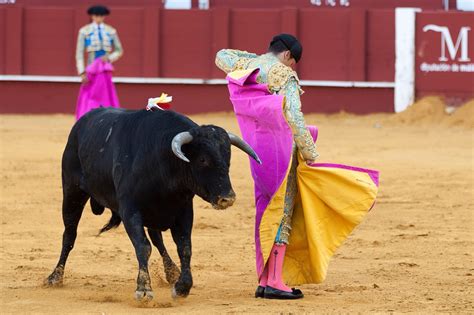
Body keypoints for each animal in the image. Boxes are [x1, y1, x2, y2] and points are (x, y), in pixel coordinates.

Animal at [45, 108, 260, 302]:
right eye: (203, 159)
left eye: (228, 159)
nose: (227, 198)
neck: (162, 160)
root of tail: (82, 122)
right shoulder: (130, 210)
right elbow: (143, 246)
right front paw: (143, 289)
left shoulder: (183, 211)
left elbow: (184, 247)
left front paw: (182, 287)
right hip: (72, 193)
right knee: (69, 235)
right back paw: (55, 277)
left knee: (157, 239)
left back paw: (172, 272)